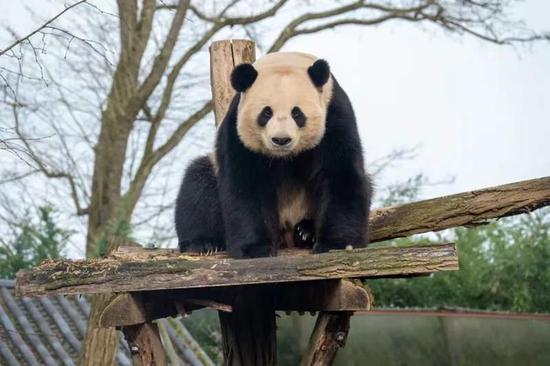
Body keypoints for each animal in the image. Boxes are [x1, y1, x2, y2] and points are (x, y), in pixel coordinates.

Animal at [177, 51, 376, 258]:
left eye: (297, 113)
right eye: (266, 113)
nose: (281, 139)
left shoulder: (334, 114)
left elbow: (340, 174)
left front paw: (337, 243)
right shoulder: (237, 129)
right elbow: (246, 184)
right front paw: (255, 248)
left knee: (367, 185)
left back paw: (306, 232)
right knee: (198, 187)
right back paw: (202, 243)